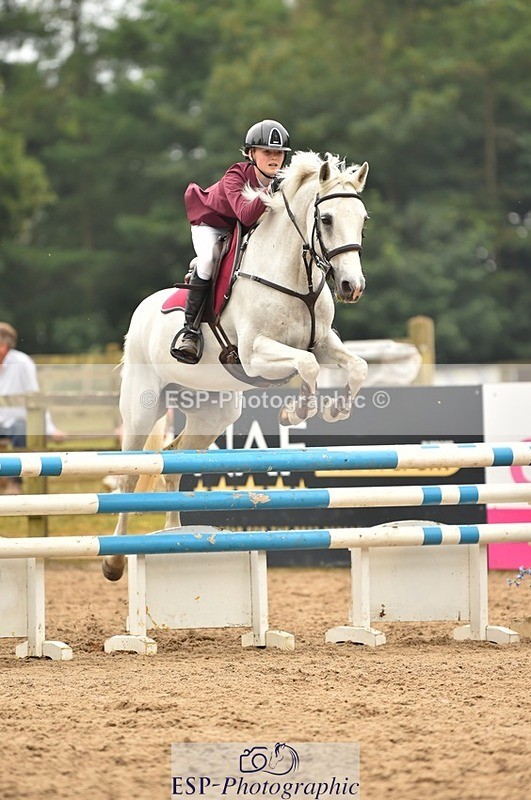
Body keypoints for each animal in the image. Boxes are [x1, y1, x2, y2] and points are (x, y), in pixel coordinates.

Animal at [102, 151, 370, 581]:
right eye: (326, 219)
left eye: (362, 219)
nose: (352, 286)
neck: (294, 274)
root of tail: (142, 311)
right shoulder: (255, 354)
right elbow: (308, 366)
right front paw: (295, 413)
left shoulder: (325, 342)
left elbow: (355, 366)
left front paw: (336, 409)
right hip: (142, 408)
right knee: (129, 474)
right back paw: (113, 560)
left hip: (213, 412)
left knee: (172, 463)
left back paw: (174, 538)